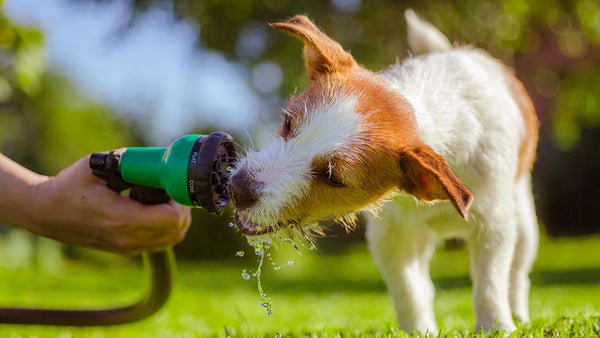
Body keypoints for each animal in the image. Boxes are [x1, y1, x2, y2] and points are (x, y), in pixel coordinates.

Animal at [230, 9, 540, 334]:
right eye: (288, 123)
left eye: (332, 177)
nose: (238, 188)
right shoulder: (390, 235)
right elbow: (407, 288)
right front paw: (418, 331)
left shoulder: (494, 226)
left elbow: (489, 281)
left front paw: (495, 326)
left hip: (523, 224)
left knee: (517, 273)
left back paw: (518, 314)